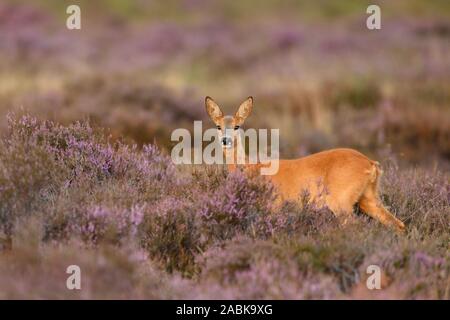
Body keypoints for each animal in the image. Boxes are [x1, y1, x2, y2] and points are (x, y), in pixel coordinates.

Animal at [206, 95, 406, 232]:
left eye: (237, 126)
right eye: (218, 126)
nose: (225, 140)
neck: (252, 169)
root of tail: (371, 164)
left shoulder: (274, 206)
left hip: (340, 202)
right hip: (369, 198)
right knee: (398, 224)